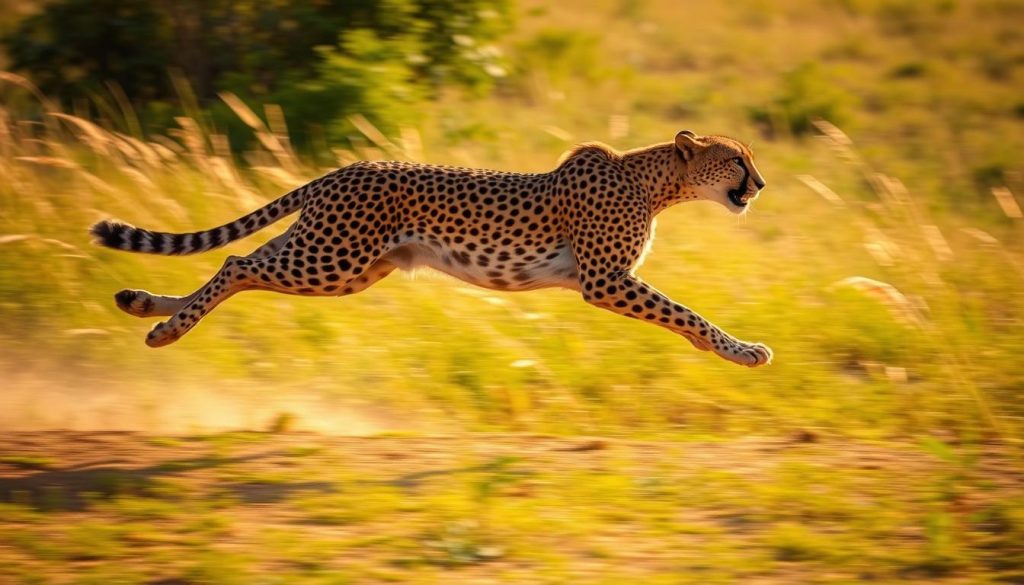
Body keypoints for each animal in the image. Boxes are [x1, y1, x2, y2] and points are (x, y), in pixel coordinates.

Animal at [90, 130, 773, 367]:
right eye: (736, 159)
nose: (761, 185)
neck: (656, 182)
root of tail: (345, 167)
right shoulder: (604, 280)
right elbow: (686, 313)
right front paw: (743, 351)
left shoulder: (606, 279)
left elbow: (681, 314)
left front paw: (731, 350)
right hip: (331, 259)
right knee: (236, 263)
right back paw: (164, 331)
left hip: (341, 262)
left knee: (242, 265)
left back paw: (142, 304)